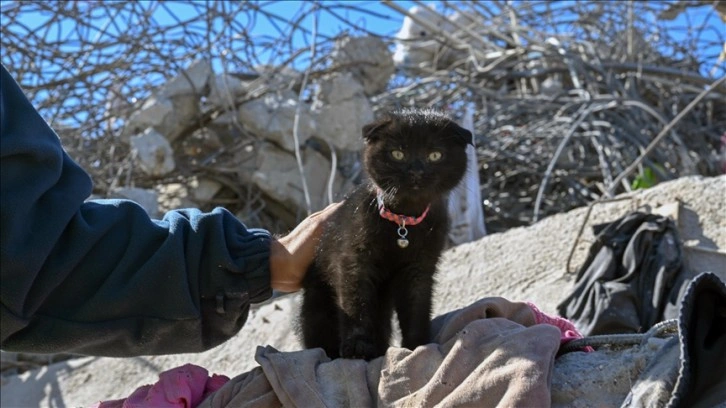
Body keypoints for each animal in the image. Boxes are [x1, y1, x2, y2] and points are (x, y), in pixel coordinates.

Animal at [300, 107, 474, 360]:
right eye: (398, 154)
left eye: (434, 155)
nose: (416, 171)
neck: (403, 223)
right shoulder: (354, 262)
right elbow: (356, 305)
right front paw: (358, 347)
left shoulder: (419, 268)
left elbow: (417, 308)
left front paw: (417, 346)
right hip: (317, 304)